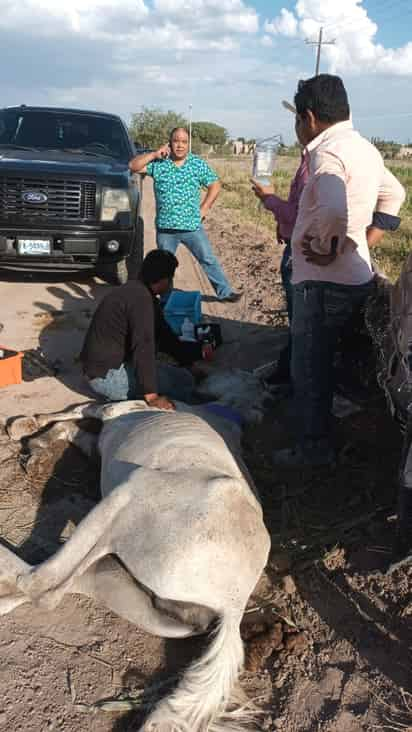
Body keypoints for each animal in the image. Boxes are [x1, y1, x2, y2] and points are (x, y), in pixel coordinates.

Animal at [0, 368, 272, 732]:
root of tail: (232, 603)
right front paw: (33, 440)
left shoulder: (115, 411)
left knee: (42, 587)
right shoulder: (100, 443)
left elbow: (80, 410)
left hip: (130, 494)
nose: (200, 374)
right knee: (59, 585)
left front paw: (25, 429)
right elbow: (74, 429)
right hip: (130, 587)